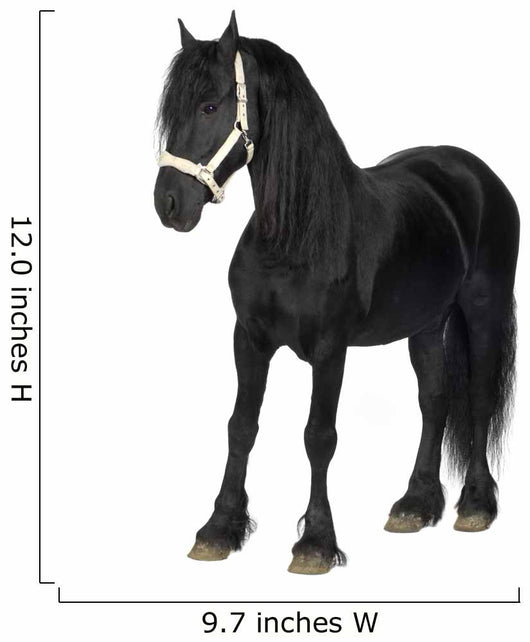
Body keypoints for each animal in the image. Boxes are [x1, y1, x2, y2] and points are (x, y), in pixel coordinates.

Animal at [153, 12, 519, 575]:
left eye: (210, 105)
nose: (168, 203)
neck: (294, 237)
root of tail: (479, 175)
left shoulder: (330, 350)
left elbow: (318, 436)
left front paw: (316, 543)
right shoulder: (249, 340)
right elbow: (241, 426)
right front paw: (218, 529)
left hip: (483, 310)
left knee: (477, 398)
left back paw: (476, 505)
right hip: (426, 324)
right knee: (434, 400)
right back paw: (415, 504)